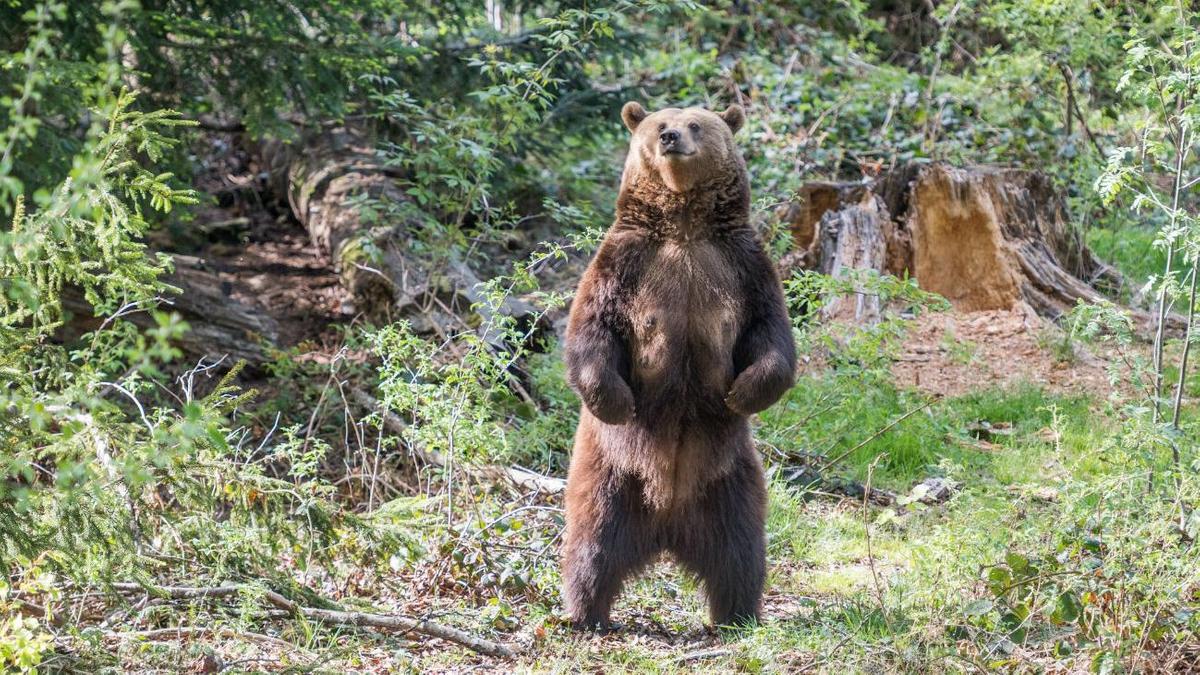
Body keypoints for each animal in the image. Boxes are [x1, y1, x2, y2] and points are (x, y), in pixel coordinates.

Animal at [559, 102, 796, 629]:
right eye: (658, 123)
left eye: (696, 124)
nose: (670, 138)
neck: (684, 226)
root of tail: (667, 524)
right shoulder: (626, 263)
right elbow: (593, 327)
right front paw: (616, 400)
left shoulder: (741, 266)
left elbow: (770, 332)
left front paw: (742, 392)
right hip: (611, 473)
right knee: (592, 543)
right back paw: (586, 613)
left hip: (730, 477)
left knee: (740, 551)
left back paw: (737, 615)